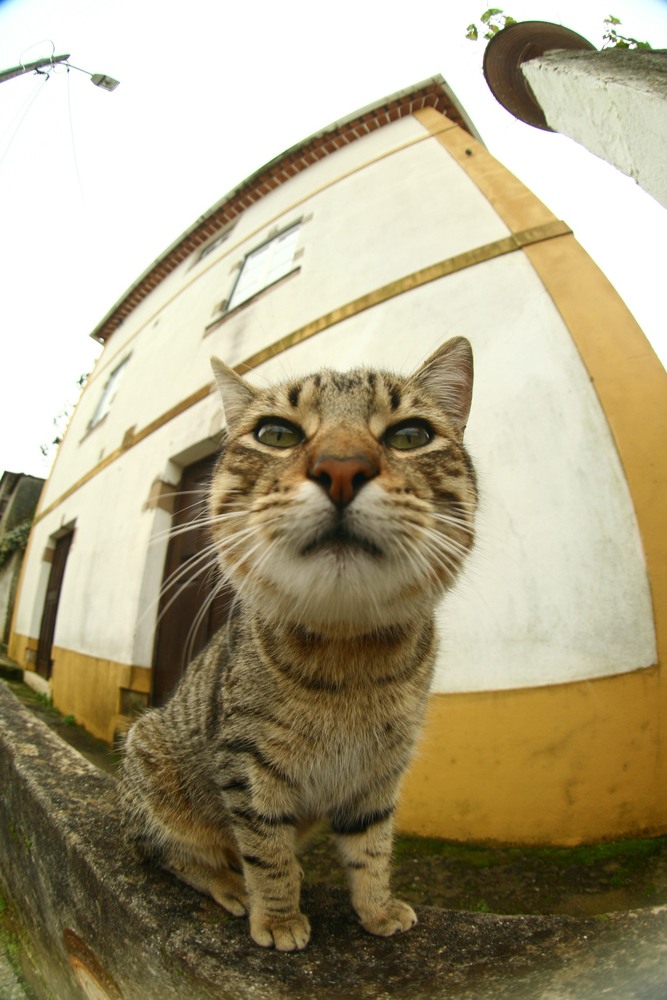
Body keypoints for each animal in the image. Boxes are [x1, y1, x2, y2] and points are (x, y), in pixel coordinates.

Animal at [118, 332, 474, 948]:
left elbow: (371, 848)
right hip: (151, 763)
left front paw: (377, 908)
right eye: (276, 433)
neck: (349, 653)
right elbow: (266, 851)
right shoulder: (245, 764)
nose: (342, 467)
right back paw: (229, 884)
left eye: (410, 435)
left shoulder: (380, 770)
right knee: (170, 854)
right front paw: (280, 916)